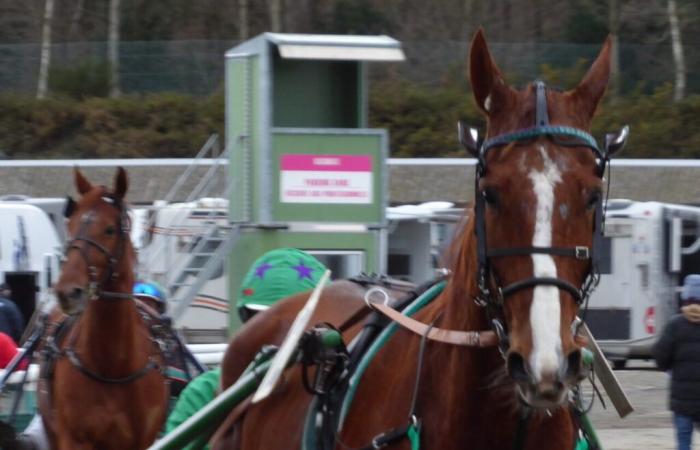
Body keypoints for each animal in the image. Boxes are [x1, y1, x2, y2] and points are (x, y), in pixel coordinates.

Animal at [42, 167, 168, 448]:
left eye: (110, 230)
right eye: (71, 225)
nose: (68, 292)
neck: (113, 366)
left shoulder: (143, 439)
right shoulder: (73, 438)